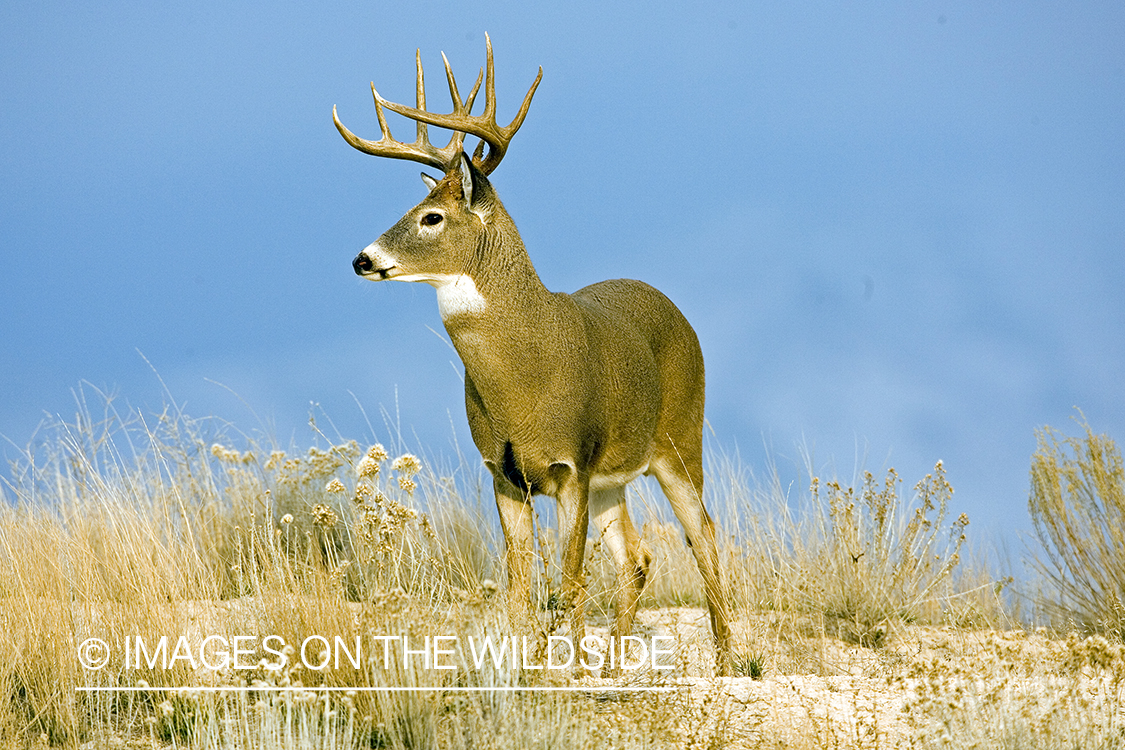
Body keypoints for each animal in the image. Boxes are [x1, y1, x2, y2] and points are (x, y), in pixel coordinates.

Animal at [333, 35, 733, 674]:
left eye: (432, 216)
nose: (362, 259)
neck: (524, 378)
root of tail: (675, 309)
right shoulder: (503, 471)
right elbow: (522, 589)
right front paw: (531, 668)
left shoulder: (573, 463)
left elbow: (568, 584)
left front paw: (562, 671)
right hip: (614, 478)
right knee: (636, 556)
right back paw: (614, 666)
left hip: (677, 437)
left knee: (703, 534)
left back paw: (728, 661)